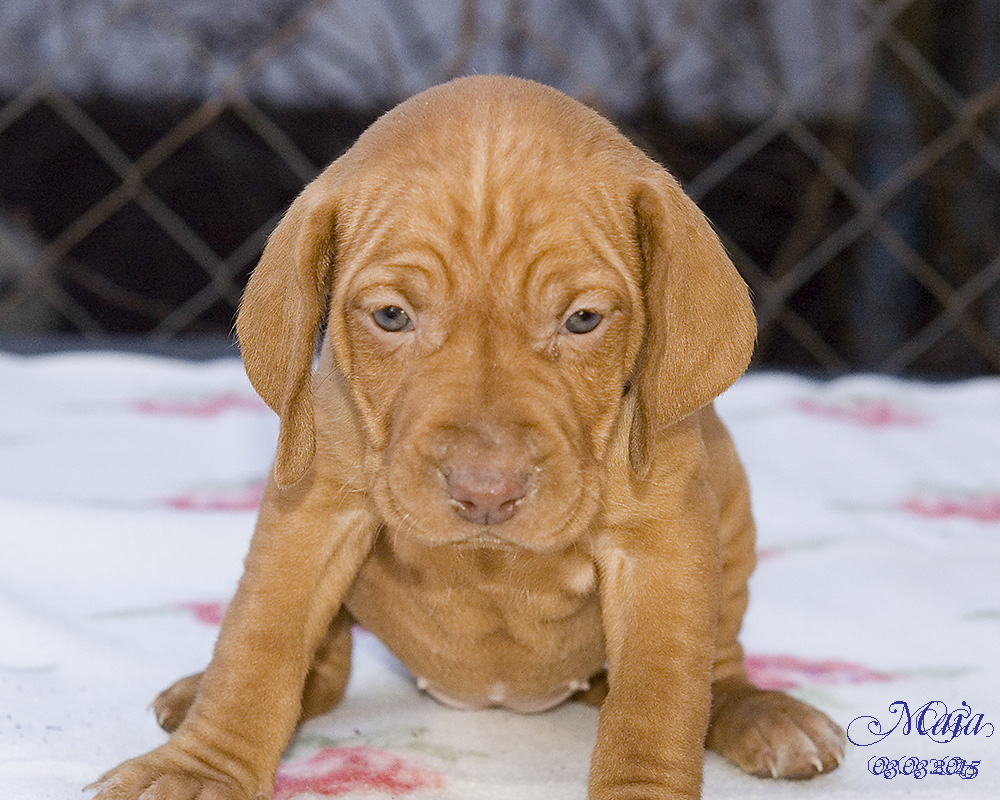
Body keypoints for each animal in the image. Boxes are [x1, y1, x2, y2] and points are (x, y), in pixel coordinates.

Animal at [92, 76, 844, 800]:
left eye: (583, 319)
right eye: (392, 316)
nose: (486, 494)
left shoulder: (660, 547)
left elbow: (656, 705)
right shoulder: (314, 514)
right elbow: (256, 651)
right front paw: (199, 770)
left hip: (732, 510)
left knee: (715, 669)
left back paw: (760, 712)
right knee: (323, 666)